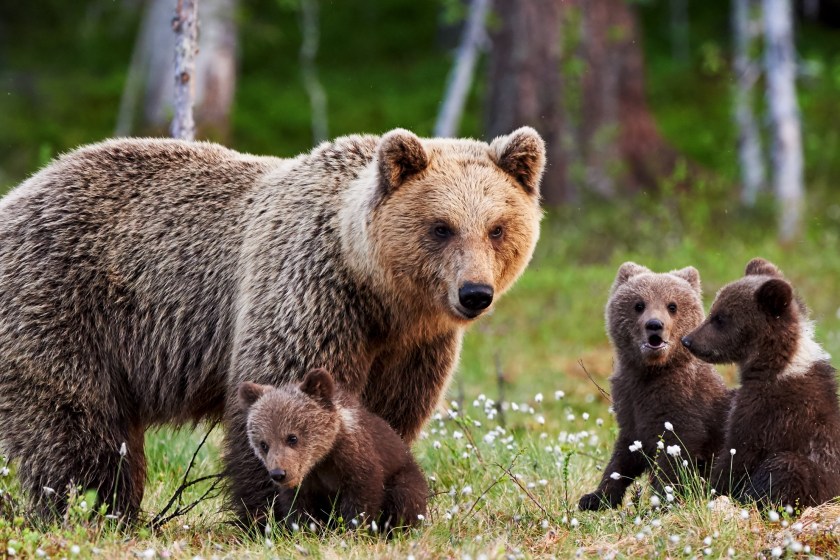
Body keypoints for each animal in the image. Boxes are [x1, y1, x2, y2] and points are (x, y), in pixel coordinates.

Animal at [238, 368, 428, 532]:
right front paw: (305, 530)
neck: (322, 459)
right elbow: (298, 507)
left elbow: (362, 497)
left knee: (405, 495)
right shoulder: (305, 484)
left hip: (405, 474)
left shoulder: (357, 461)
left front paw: (353, 530)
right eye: (264, 444)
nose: (279, 473)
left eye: (292, 438)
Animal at [578, 262, 732, 511]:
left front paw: (662, 501)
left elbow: (675, 457)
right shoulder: (630, 403)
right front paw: (595, 497)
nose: (654, 325)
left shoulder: (684, 408)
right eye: (639, 305)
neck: (652, 371)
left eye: (672, 306)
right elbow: (624, 454)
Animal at [681, 257, 840, 508]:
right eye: (713, 310)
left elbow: (739, 454)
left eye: (720, 318)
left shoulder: (768, 412)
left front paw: (707, 490)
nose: (687, 340)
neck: (775, 365)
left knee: (787, 467)